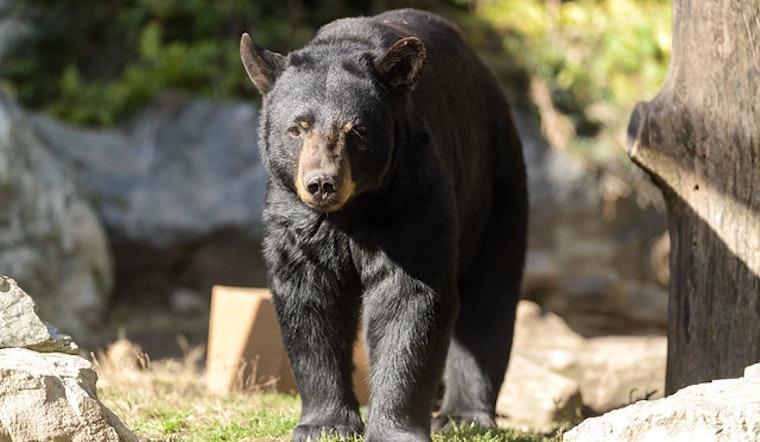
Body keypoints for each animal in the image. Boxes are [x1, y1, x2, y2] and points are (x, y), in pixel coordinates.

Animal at [240, 8, 527, 442]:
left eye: (356, 131)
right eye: (297, 128)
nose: (322, 183)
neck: (351, 211)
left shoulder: (409, 197)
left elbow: (409, 298)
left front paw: (394, 428)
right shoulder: (296, 216)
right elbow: (310, 298)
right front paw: (323, 424)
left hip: (495, 185)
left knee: (490, 293)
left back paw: (463, 414)